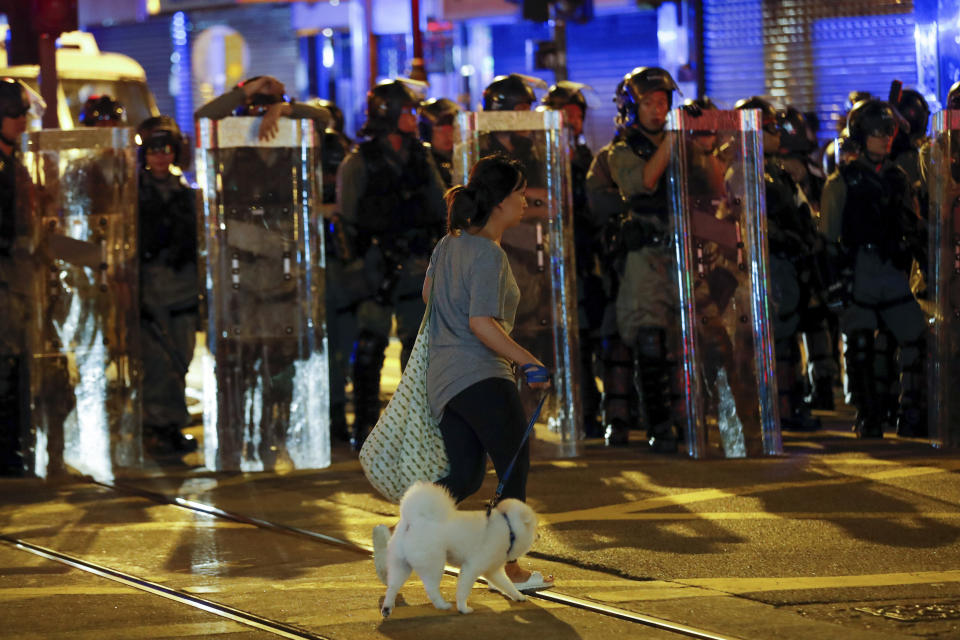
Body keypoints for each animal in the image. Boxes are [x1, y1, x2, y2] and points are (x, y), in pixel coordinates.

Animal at [378, 480, 536, 616]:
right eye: (534, 529)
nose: (539, 535)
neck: (509, 529)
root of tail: (413, 520)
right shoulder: (472, 566)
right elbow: (463, 590)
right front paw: (463, 608)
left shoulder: (493, 569)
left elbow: (507, 584)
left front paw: (518, 596)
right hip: (434, 563)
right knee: (431, 588)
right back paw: (443, 605)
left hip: (401, 564)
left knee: (393, 586)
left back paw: (387, 607)